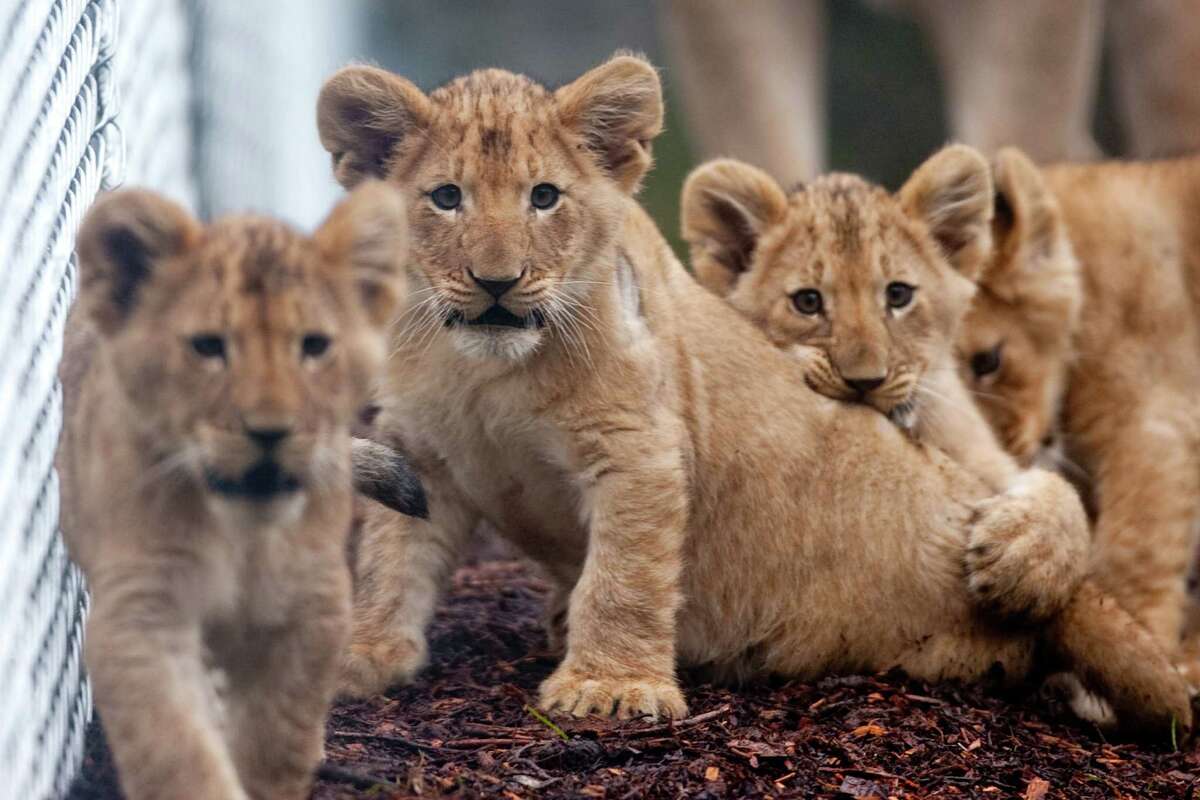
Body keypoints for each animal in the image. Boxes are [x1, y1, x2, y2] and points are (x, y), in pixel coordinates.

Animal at [59, 182, 418, 800]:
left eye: (314, 346)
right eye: (208, 346)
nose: (270, 431)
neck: (242, 532)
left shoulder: (312, 603)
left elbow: (279, 732)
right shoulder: (143, 612)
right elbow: (174, 744)